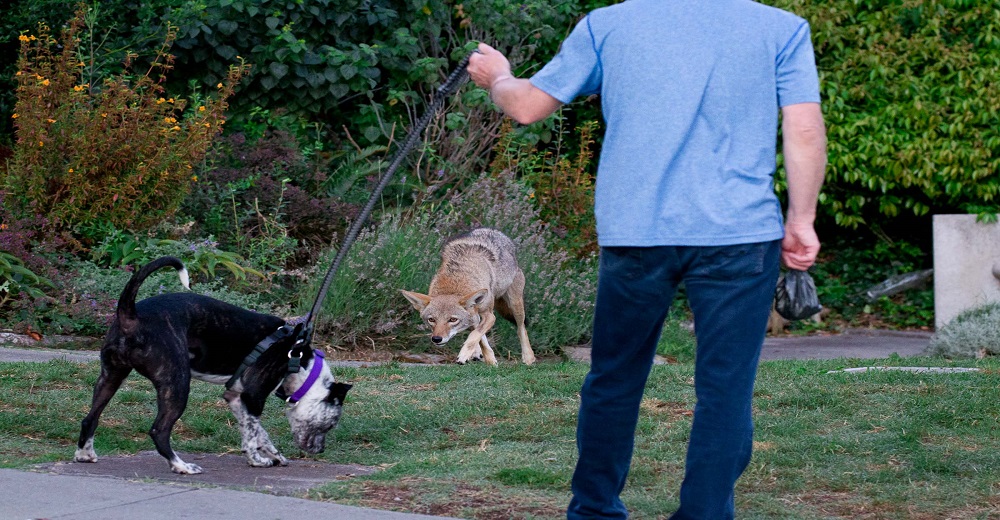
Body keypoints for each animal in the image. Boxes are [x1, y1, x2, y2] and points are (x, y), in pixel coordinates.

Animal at [73, 256, 352, 476]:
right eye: (330, 424)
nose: (320, 450)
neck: (298, 358)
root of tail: (131, 314)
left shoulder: (237, 398)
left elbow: (257, 432)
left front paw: (273, 455)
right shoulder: (254, 397)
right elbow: (253, 435)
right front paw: (257, 460)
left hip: (111, 376)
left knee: (90, 419)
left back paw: (85, 454)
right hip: (176, 384)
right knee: (159, 431)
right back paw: (180, 465)